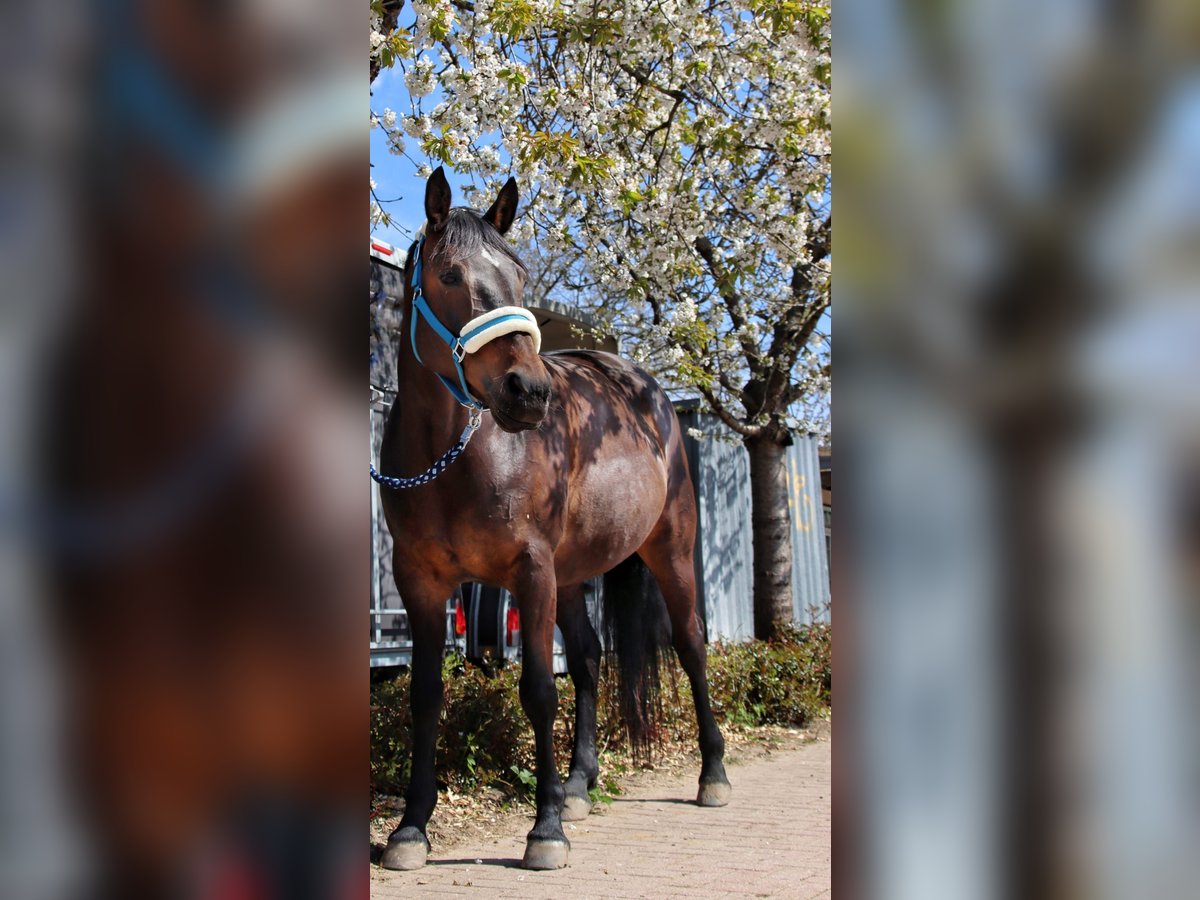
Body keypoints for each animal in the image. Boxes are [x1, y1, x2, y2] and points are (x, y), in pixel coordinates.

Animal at [374, 169, 729, 873]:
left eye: (518, 274)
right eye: (449, 275)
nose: (529, 392)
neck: (459, 456)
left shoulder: (530, 572)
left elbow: (539, 689)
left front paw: (544, 832)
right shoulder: (420, 582)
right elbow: (424, 695)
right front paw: (411, 828)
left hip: (669, 553)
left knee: (691, 645)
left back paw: (712, 775)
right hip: (570, 577)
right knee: (589, 660)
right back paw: (578, 786)